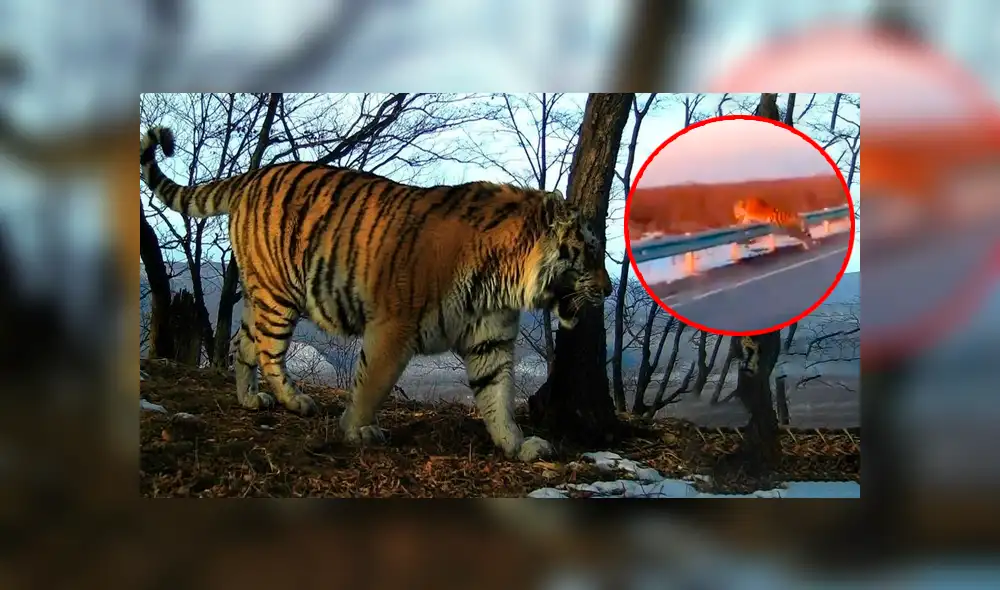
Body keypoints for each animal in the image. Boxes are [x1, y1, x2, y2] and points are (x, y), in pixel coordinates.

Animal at [139, 125, 612, 463]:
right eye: (589, 252)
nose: (608, 290)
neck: (504, 282)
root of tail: (255, 174)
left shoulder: (490, 340)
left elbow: (498, 396)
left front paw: (517, 446)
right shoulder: (394, 327)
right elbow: (373, 384)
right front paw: (357, 429)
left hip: (261, 295)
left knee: (243, 344)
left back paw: (250, 399)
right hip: (280, 295)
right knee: (270, 353)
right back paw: (297, 401)